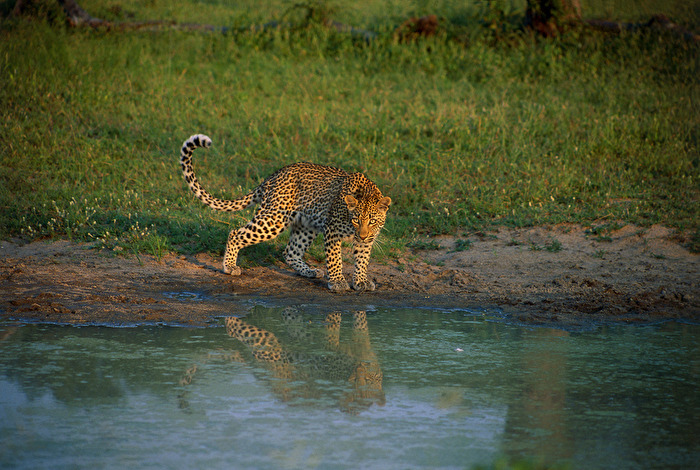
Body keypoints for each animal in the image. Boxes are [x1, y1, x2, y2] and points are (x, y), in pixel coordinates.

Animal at [180, 134, 391, 292]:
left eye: (372, 221)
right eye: (355, 220)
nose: (362, 235)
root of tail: (272, 176)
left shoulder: (367, 239)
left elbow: (362, 259)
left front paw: (361, 281)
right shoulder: (333, 231)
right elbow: (334, 258)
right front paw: (338, 282)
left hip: (306, 225)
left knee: (290, 252)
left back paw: (310, 271)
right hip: (274, 219)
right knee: (236, 233)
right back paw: (230, 266)